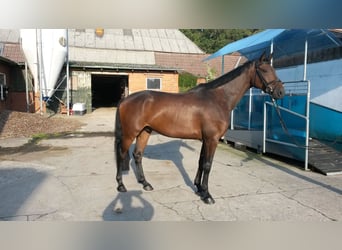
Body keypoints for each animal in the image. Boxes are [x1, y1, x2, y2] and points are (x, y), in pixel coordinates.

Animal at [116, 52, 284, 203]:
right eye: (265, 70)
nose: (281, 91)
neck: (218, 98)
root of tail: (125, 100)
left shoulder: (206, 139)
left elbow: (201, 161)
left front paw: (198, 188)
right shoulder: (212, 139)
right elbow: (208, 165)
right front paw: (207, 195)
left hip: (145, 131)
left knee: (137, 155)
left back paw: (145, 184)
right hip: (130, 133)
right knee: (122, 154)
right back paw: (121, 185)